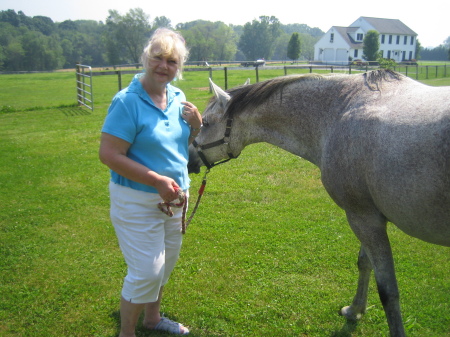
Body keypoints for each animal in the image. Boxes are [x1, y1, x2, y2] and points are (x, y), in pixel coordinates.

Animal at [188, 69, 448, 334]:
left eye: (205, 122)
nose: (189, 160)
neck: (337, 114)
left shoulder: (363, 218)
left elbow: (388, 291)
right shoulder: (369, 217)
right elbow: (364, 263)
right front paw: (355, 310)